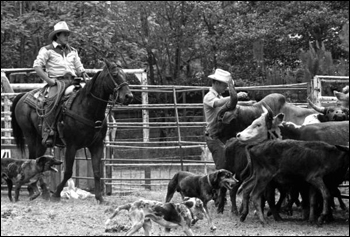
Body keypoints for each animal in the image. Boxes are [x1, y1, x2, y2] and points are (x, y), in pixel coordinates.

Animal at [10, 59, 134, 202]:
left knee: (37, 160)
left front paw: (99, 198)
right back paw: (37, 191)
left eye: (125, 75)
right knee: (32, 159)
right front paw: (56, 194)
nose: (128, 96)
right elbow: (68, 172)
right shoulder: (71, 146)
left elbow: (97, 172)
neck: (87, 109)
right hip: (30, 135)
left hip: (41, 141)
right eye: (114, 74)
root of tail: (23, 95)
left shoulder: (97, 145)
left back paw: (41, 191)